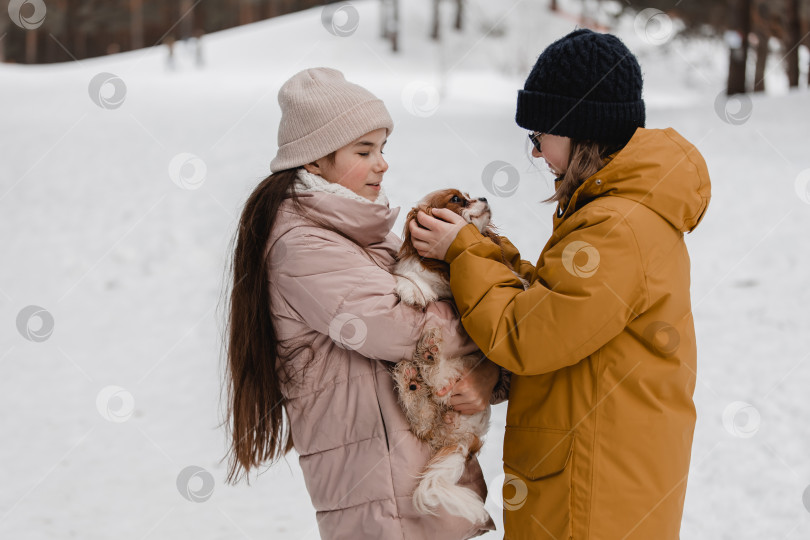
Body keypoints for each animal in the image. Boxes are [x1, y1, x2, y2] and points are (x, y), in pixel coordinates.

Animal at [390, 189, 528, 524]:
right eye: (457, 199)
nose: (483, 197)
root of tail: (463, 442)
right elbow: (408, 277)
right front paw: (414, 289)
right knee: (424, 417)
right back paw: (412, 379)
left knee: (438, 387)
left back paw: (427, 358)